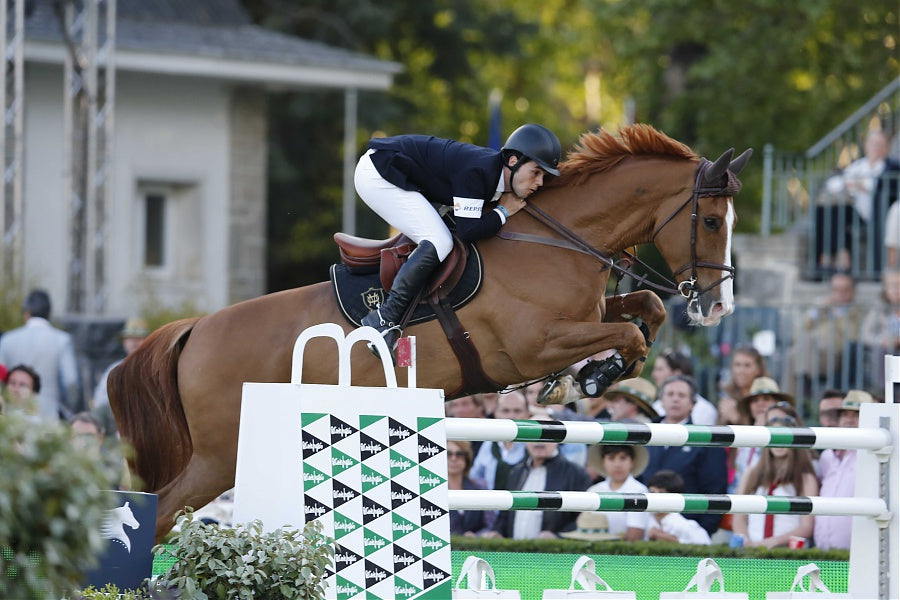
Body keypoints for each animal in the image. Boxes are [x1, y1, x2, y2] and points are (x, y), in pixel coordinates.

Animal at [107, 124, 752, 540]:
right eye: (711, 220)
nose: (719, 306)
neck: (559, 240)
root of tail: (194, 330)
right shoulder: (535, 344)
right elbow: (632, 336)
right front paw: (587, 379)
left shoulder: (588, 315)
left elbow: (647, 309)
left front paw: (591, 377)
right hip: (219, 457)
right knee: (159, 517)